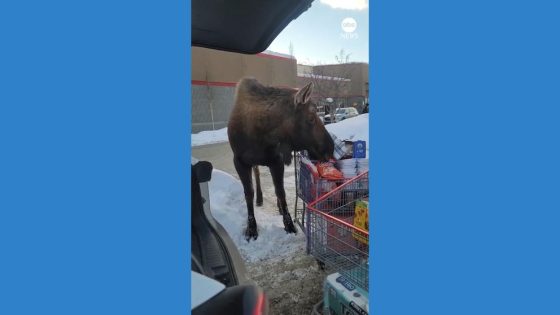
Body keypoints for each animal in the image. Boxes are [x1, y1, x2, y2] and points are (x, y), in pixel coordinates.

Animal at [226, 78, 332, 242]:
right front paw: (251, 229)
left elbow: (281, 192)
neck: (261, 135)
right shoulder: (239, 161)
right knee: (257, 173)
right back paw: (260, 198)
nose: (330, 148)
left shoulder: (276, 160)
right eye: (310, 118)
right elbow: (248, 193)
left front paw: (289, 225)